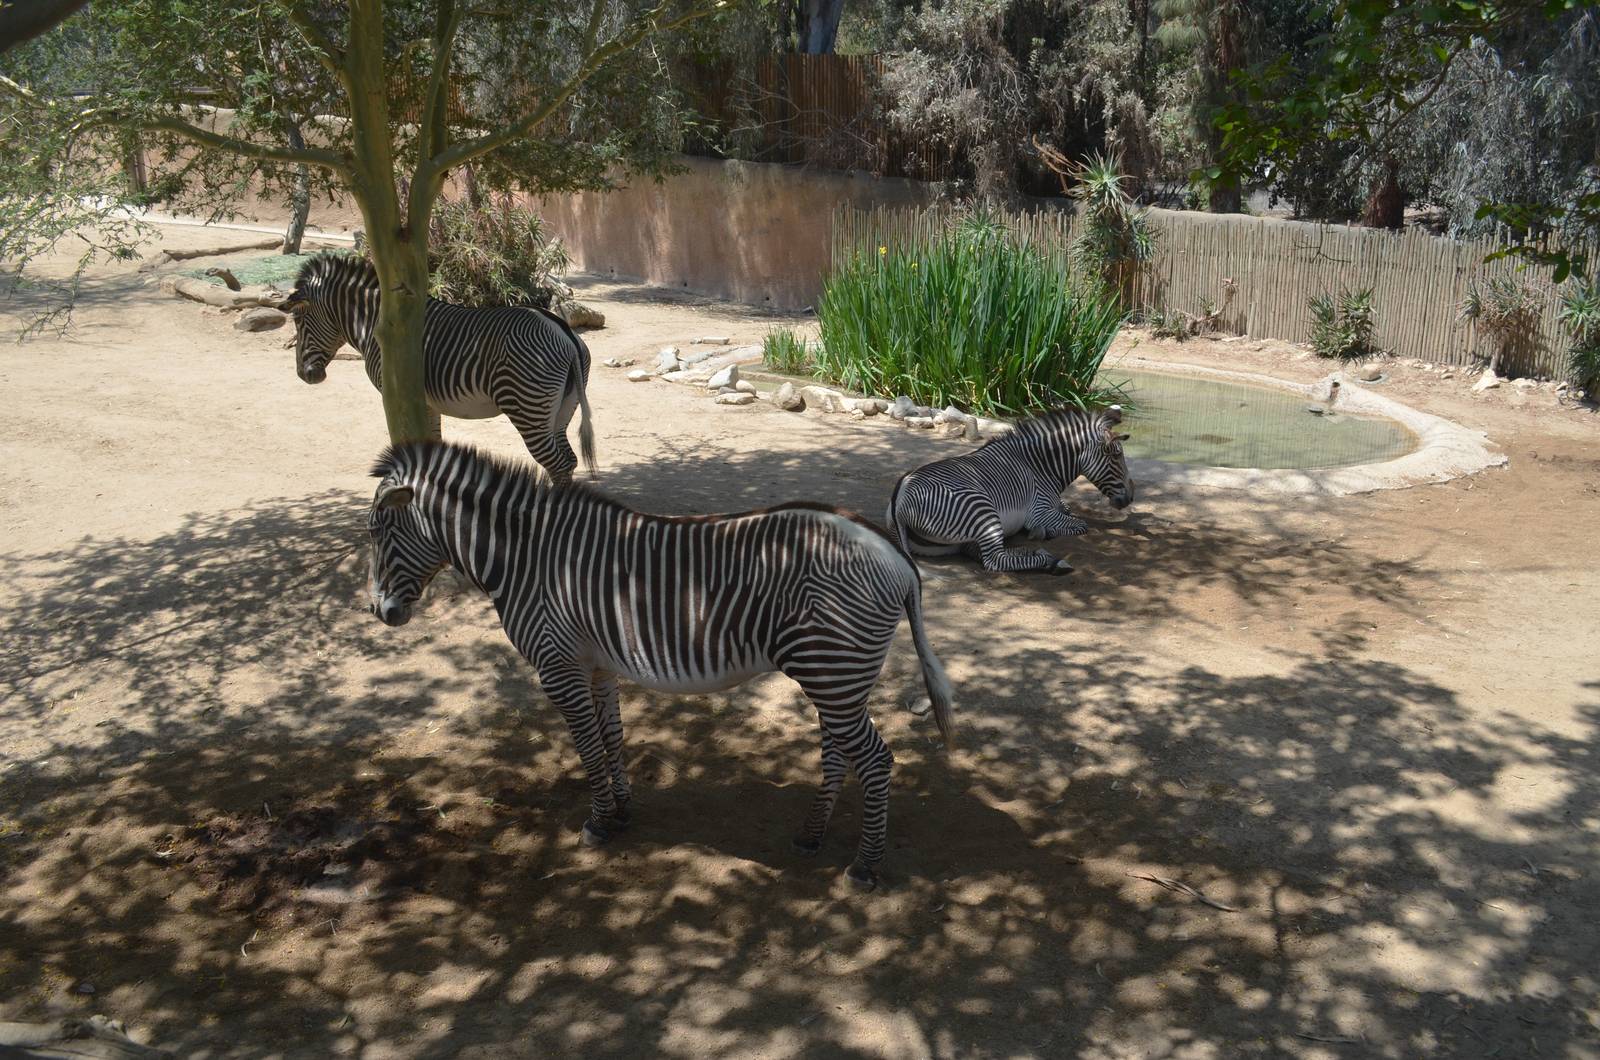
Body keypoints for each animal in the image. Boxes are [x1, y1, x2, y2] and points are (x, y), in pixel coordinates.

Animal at [285, 253, 596, 485]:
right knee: (568, 460)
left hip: (528, 406)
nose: (304, 375)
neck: (377, 321)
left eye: (299, 320)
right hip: (563, 408)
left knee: (556, 463)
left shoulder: (395, 393)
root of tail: (562, 331)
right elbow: (432, 440)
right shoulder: (427, 401)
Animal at [365, 439, 955, 889]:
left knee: (875, 760)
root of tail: (892, 551)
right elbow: (610, 736)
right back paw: (810, 836)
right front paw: (623, 811)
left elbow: (585, 743)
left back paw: (865, 867)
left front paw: (599, 822)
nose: (379, 613)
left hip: (832, 670)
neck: (525, 560)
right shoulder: (596, 663)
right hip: (834, 674)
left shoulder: (558, 666)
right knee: (838, 753)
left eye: (376, 533)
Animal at [885, 405, 1133, 575]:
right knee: (994, 559)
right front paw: (1044, 531)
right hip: (982, 509)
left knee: (975, 550)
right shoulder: (1040, 510)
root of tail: (901, 497)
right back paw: (1051, 560)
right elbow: (1081, 525)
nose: (1130, 498)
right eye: (1115, 455)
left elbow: (1068, 510)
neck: (1039, 466)